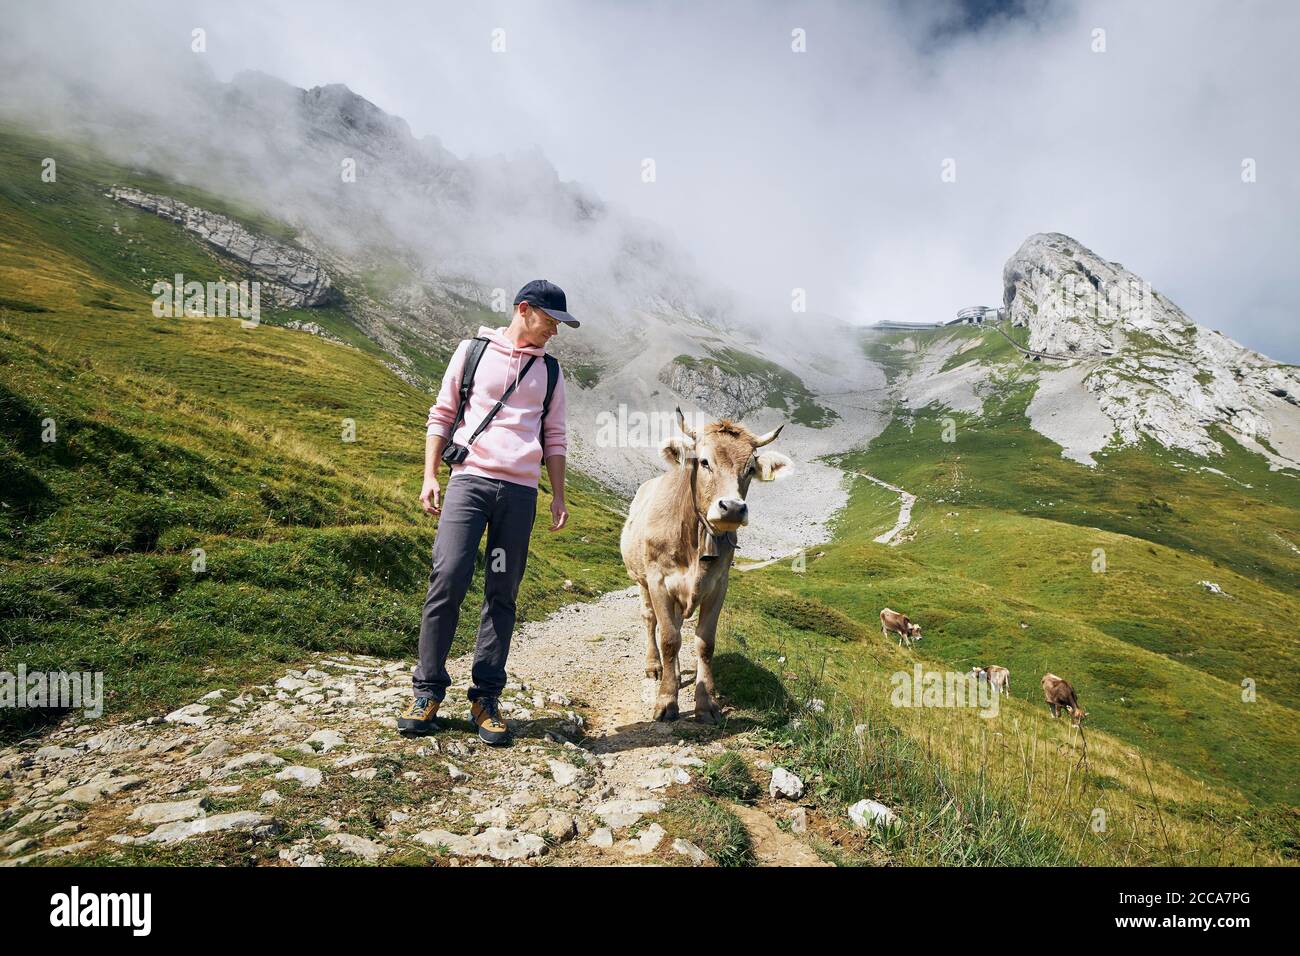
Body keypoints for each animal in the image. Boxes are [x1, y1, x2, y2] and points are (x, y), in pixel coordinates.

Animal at [618, 408, 790, 723]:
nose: (732, 508)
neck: (694, 538)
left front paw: (706, 703)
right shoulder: (659, 581)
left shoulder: (718, 585)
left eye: (750, 469)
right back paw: (655, 667)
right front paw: (666, 702)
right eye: (705, 461)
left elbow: (704, 643)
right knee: (651, 621)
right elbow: (669, 640)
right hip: (640, 579)